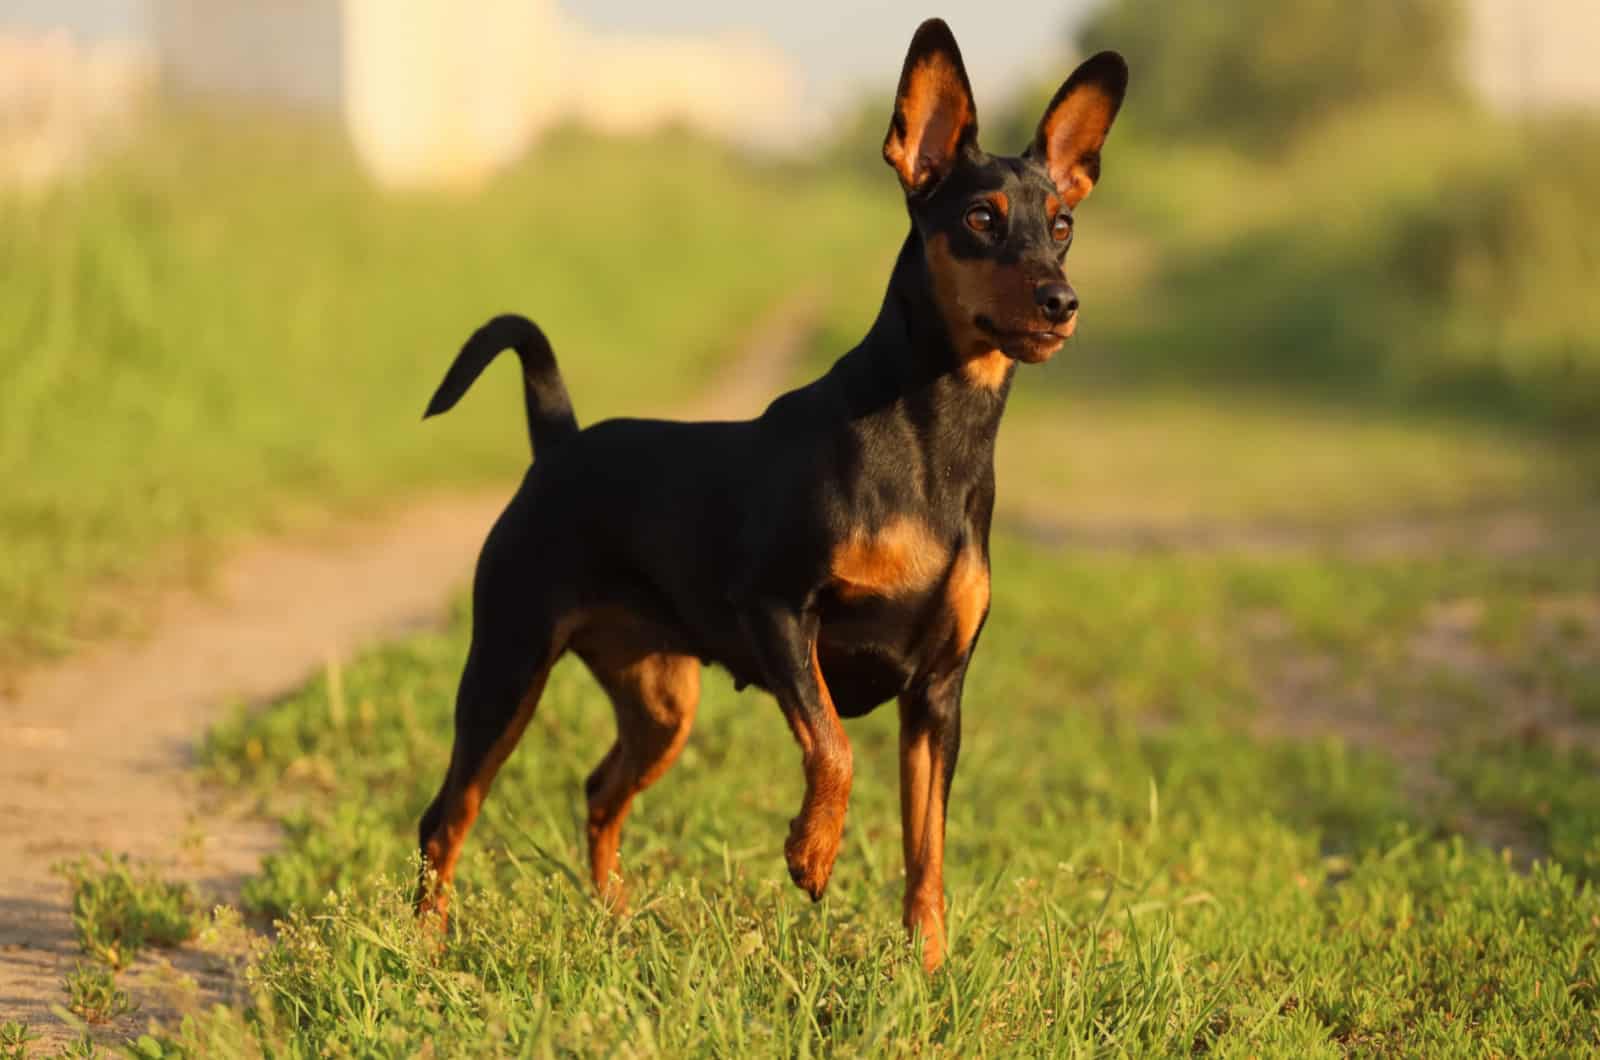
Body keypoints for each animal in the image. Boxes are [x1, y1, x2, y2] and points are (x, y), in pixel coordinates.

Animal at [419, 18, 1132, 979]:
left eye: (1063, 227)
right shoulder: (777, 613)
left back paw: (614, 919)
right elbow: (833, 745)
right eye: (982, 220)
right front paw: (812, 852)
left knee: (600, 790)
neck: (937, 441)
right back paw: (424, 950)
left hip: (661, 702)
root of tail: (559, 441)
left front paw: (928, 970)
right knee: (447, 815)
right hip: (508, 664)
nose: (1062, 301)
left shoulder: (938, 697)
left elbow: (928, 851)